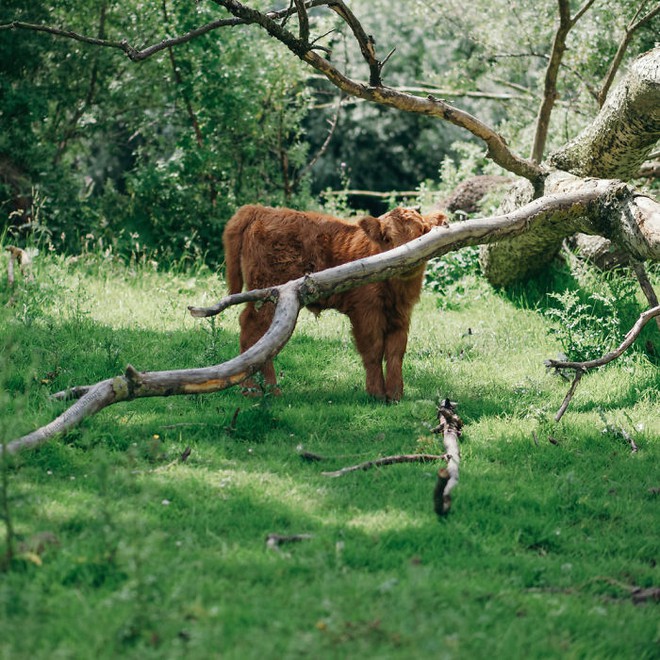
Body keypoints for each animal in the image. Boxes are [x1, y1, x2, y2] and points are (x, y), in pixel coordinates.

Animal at [223, 206, 448, 400]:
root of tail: (260, 209)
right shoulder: (366, 310)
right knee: (253, 329)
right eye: (387, 238)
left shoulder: (401, 313)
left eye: (422, 233)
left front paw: (395, 395)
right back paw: (257, 389)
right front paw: (376, 393)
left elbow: (395, 352)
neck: (395, 288)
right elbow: (373, 350)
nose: (407, 260)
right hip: (268, 293)